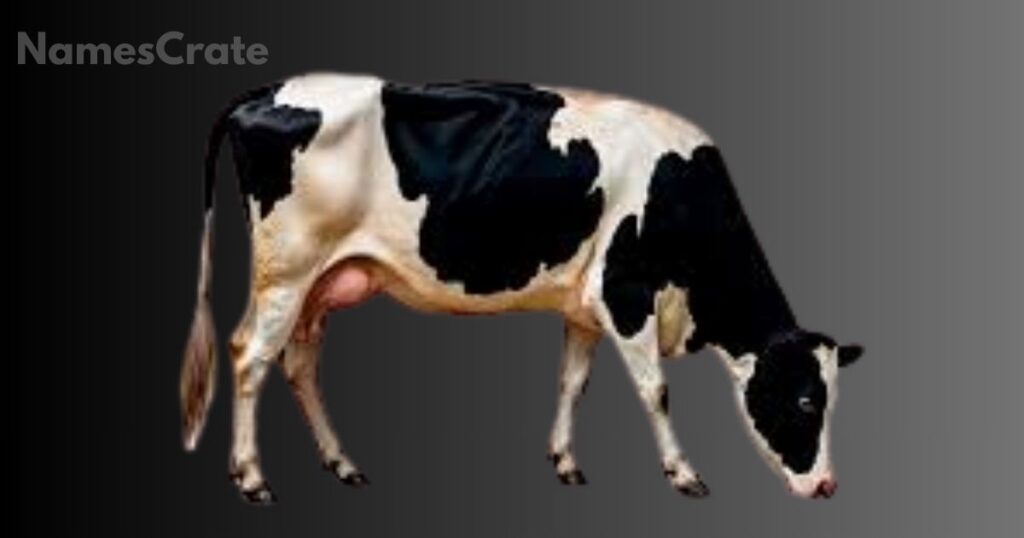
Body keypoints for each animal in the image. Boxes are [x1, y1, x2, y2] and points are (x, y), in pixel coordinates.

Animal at [180, 73, 864, 505]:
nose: (827, 486)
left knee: (298, 362)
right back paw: (252, 479)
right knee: (250, 357)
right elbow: (656, 391)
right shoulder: (625, 292)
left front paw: (564, 461)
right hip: (287, 271)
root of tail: (269, 92)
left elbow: (573, 381)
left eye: (833, 399)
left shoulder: (586, 305)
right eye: (807, 400)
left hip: (323, 280)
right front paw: (684, 473)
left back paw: (342, 464)